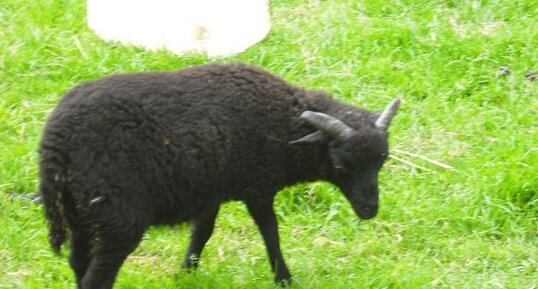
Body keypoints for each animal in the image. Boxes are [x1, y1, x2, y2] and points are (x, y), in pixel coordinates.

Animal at [39, 62, 398, 286]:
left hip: (82, 210)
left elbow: (203, 231)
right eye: (340, 166)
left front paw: (186, 272)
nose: (370, 210)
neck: (283, 122)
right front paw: (284, 278)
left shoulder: (208, 189)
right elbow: (271, 233)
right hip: (117, 215)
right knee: (97, 277)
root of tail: (55, 140)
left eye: (381, 161)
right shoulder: (257, 186)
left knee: (78, 263)